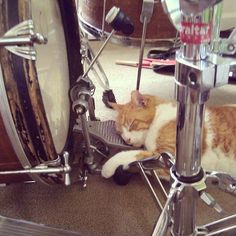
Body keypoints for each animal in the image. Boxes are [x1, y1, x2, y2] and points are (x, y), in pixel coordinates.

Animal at [102, 90, 236, 179]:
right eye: (120, 133)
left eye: (131, 124)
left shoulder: (171, 158)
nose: (127, 140)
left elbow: (135, 155)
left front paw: (109, 166)